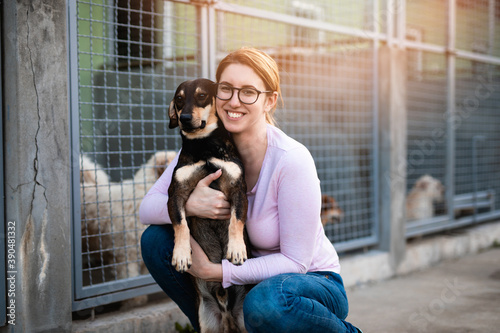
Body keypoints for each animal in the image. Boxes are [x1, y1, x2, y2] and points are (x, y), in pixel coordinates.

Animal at [167, 78, 249, 332]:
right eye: (179, 99)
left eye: (202, 95)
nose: (183, 118)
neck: (203, 147)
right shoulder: (175, 194)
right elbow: (180, 224)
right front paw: (181, 254)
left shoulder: (238, 190)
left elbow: (236, 221)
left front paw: (237, 249)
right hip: (206, 322)